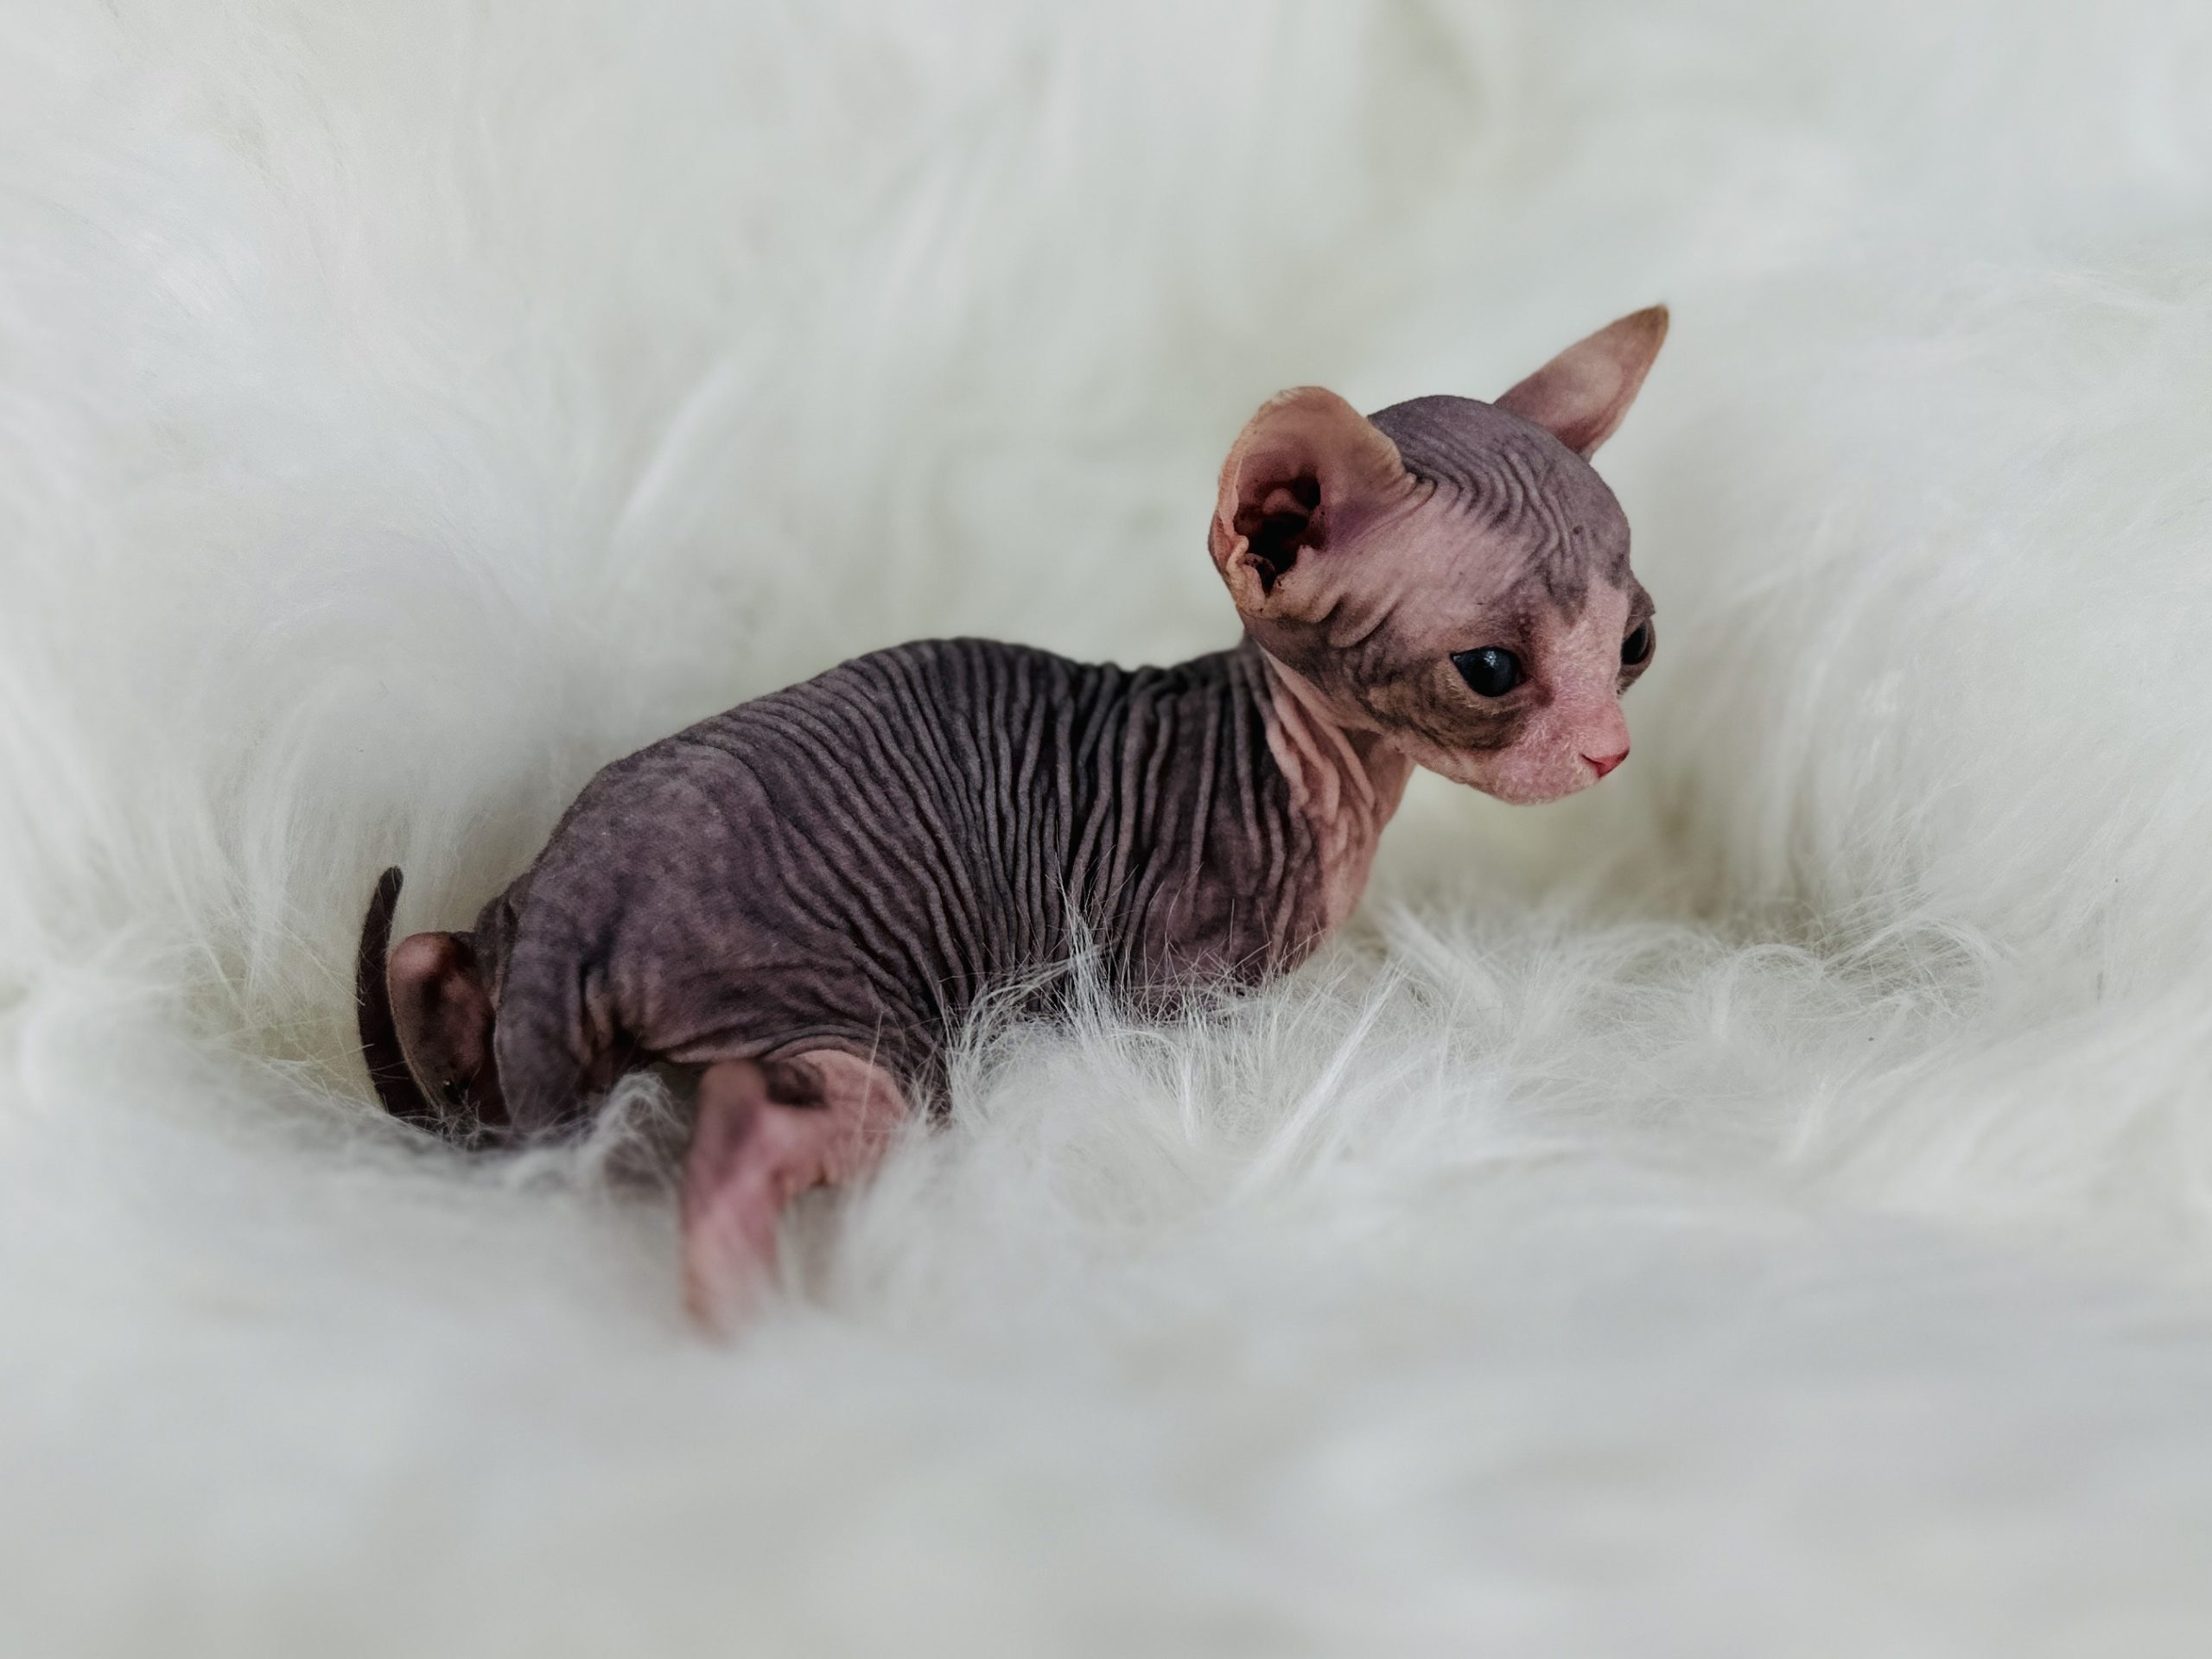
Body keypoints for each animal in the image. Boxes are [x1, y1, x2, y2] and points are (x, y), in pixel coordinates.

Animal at [353, 309, 1663, 1327]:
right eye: (1489, 670)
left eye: (1637, 642)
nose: (1611, 750)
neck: (1304, 765)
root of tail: (580, 894)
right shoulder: (1166, 986)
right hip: (847, 1014)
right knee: (748, 1120)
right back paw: (747, 1316)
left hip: (516, 932)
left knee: (426, 955)